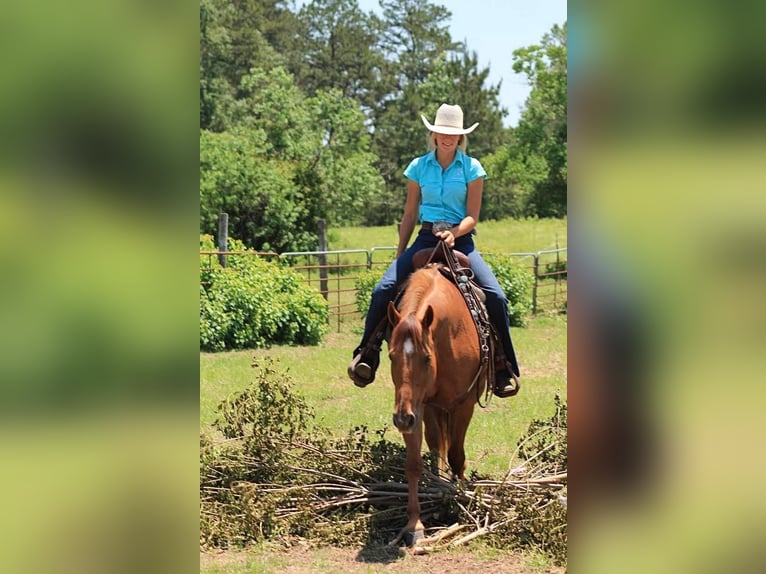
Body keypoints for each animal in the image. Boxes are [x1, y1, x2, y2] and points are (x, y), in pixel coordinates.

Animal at [388, 264, 488, 548]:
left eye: (426, 357)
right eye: (391, 356)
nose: (401, 419)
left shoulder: (463, 404)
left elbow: (457, 456)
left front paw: (463, 501)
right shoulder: (416, 406)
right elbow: (414, 463)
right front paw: (414, 524)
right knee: (436, 446)